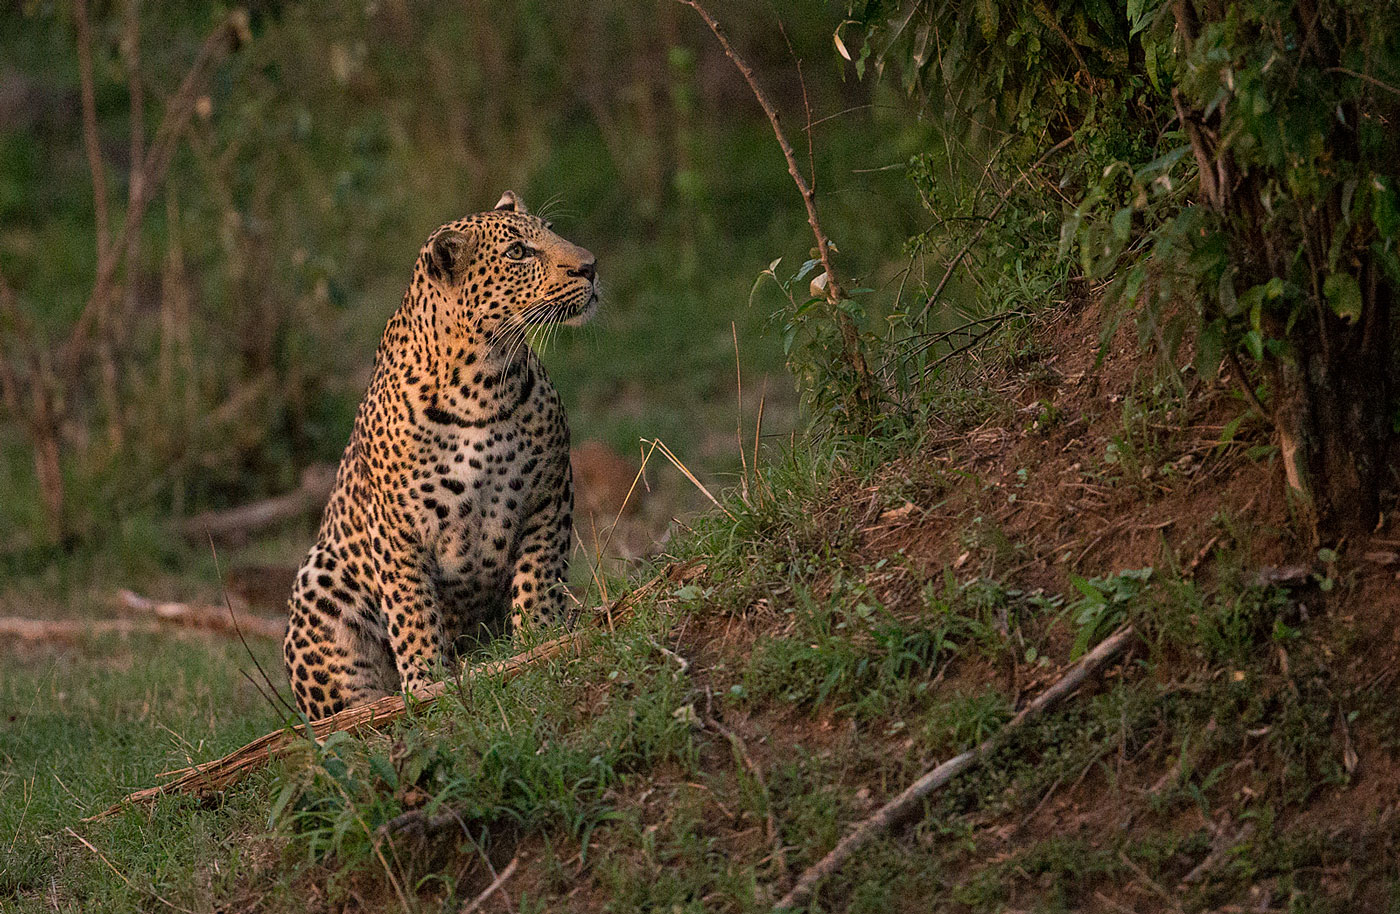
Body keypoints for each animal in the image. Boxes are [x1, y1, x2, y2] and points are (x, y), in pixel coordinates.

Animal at [281, 190, 593, 722]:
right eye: (518, 253)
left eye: (551, 232)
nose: (591, 266)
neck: (484, 383)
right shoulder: (397, 529)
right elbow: (412, 610)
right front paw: (426, 680)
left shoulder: (549, 494)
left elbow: (539, 573)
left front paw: (541, 636)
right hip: (319, 578)